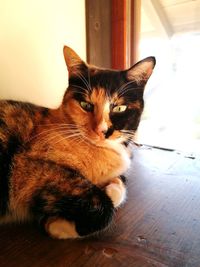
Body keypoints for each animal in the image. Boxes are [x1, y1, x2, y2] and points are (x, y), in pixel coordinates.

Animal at [0, 46, 155, 241]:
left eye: (120, 108)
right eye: (85, 105)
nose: (102, 130)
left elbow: (120, 185)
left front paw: (110, 188)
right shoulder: (30, 168)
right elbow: (105, 207)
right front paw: (57, 226)